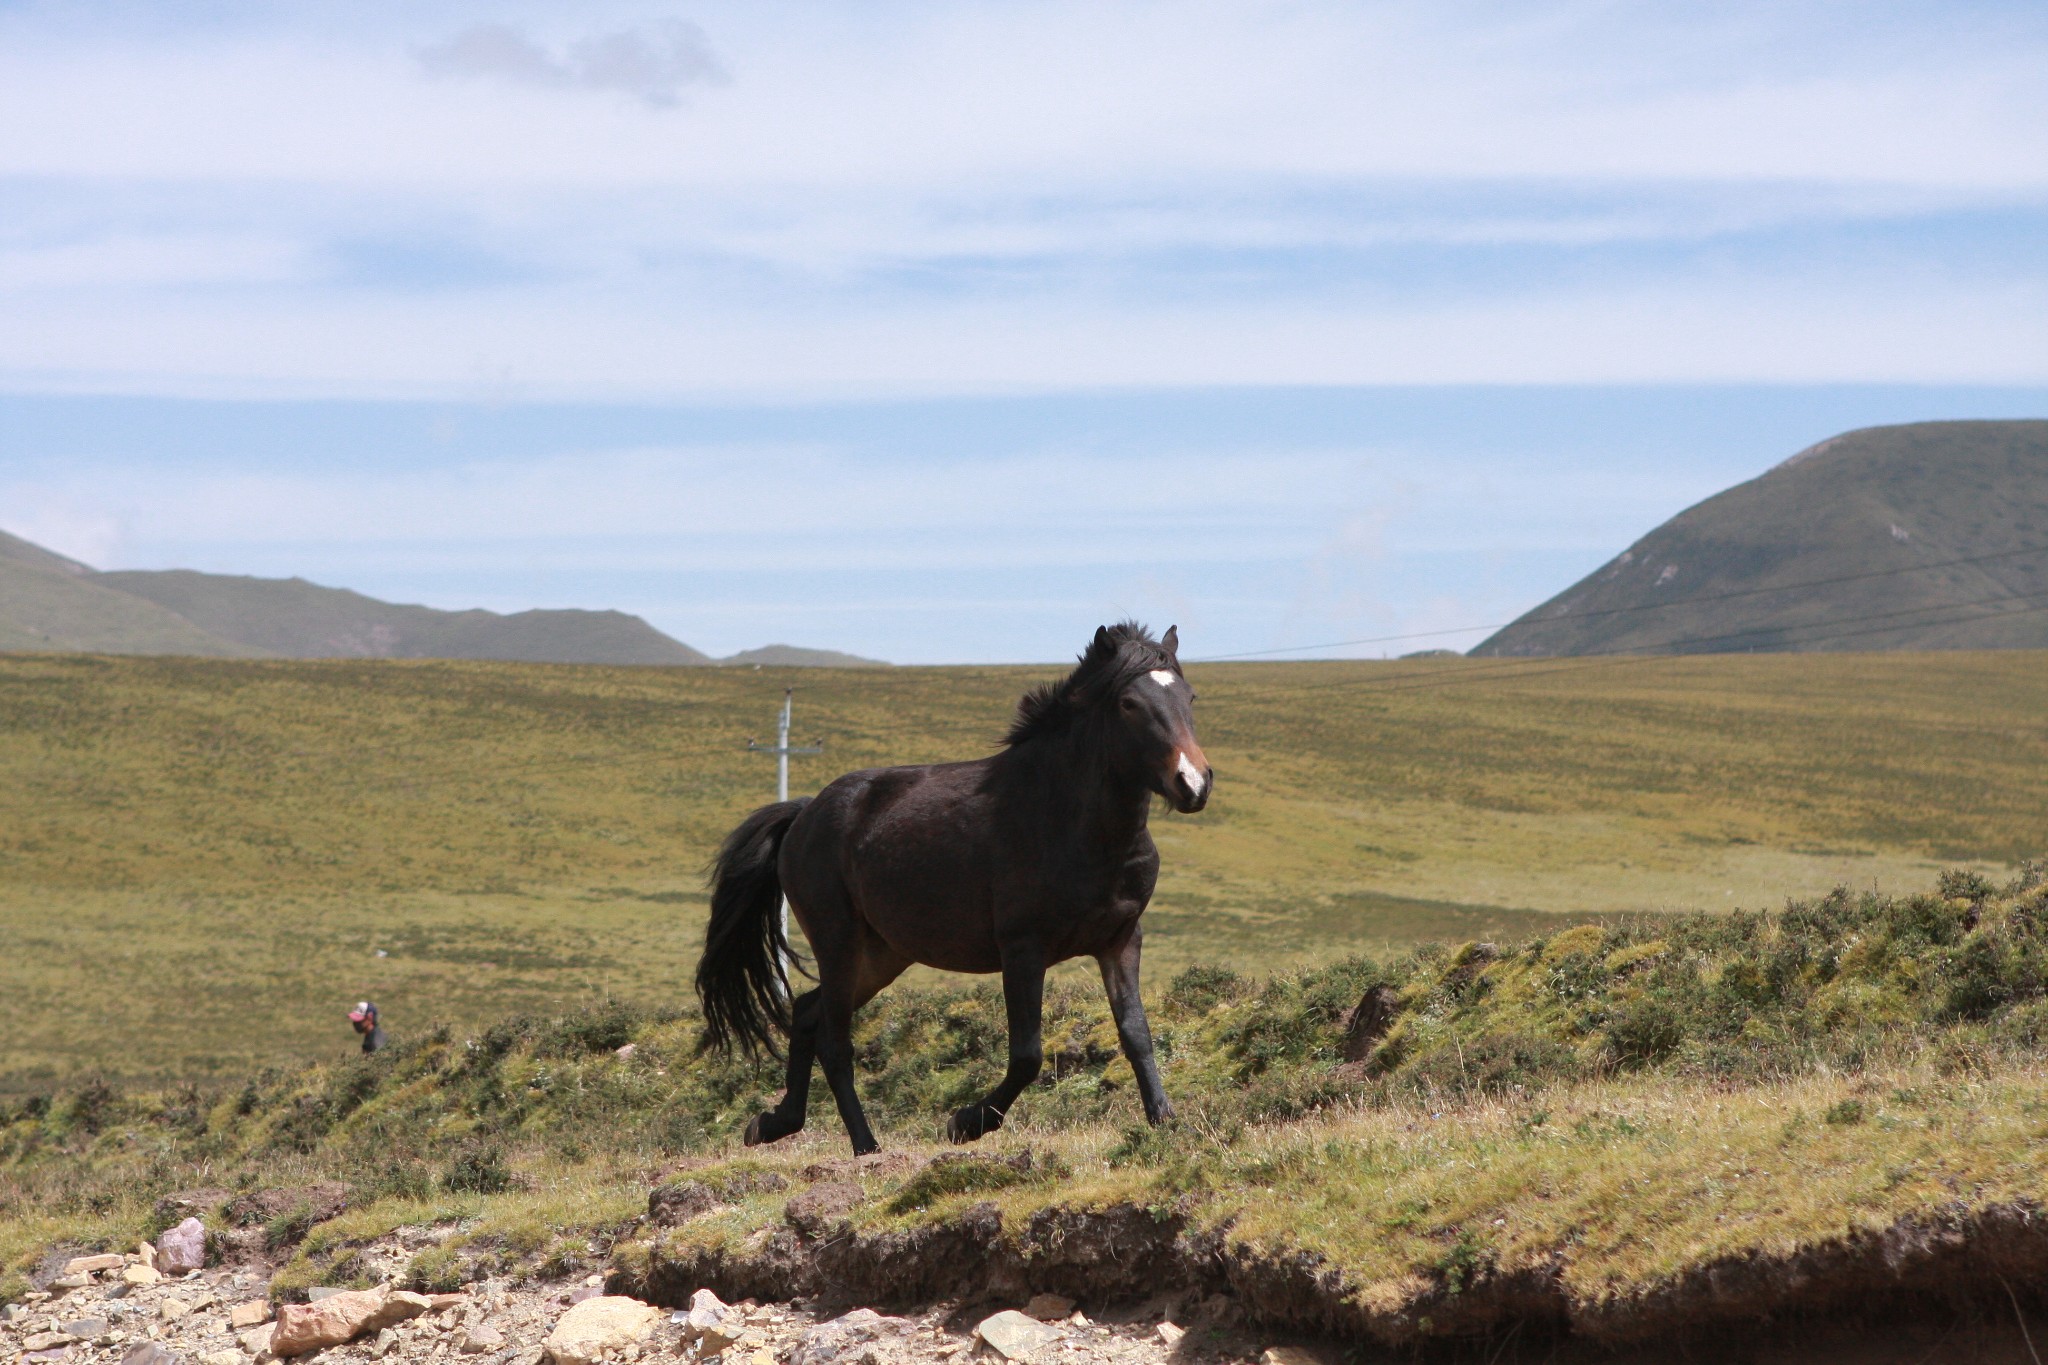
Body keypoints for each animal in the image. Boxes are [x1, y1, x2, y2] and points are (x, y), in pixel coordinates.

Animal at [696, 626, 1204, 1154]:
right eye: (1129, 703)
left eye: (1190, 697)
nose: (1193, 783)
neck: (1072, 824)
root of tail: (803, 814)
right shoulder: (1023, 949)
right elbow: (1027, 1054)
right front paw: (966, 1122)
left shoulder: (1120, 941)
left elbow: (1136, 1033)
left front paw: (1165, 1122)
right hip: (838, 943)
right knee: (833, 1042)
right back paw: (865, 1146)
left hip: (881, 955)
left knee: (806, 1013)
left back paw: (773, 1123)